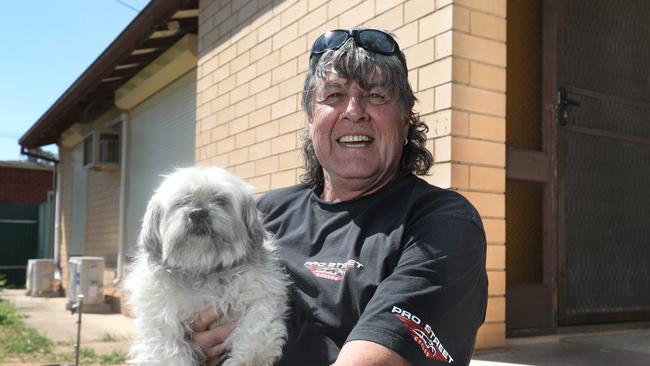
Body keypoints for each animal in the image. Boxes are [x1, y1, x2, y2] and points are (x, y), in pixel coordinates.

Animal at [125, 167, 288, 364]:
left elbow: (256, 331)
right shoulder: (161, 320)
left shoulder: (261, 294)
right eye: (182, 202)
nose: (198, 213)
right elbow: (169, 350)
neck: (204, 268)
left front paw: (246, 359)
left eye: (220, 200)